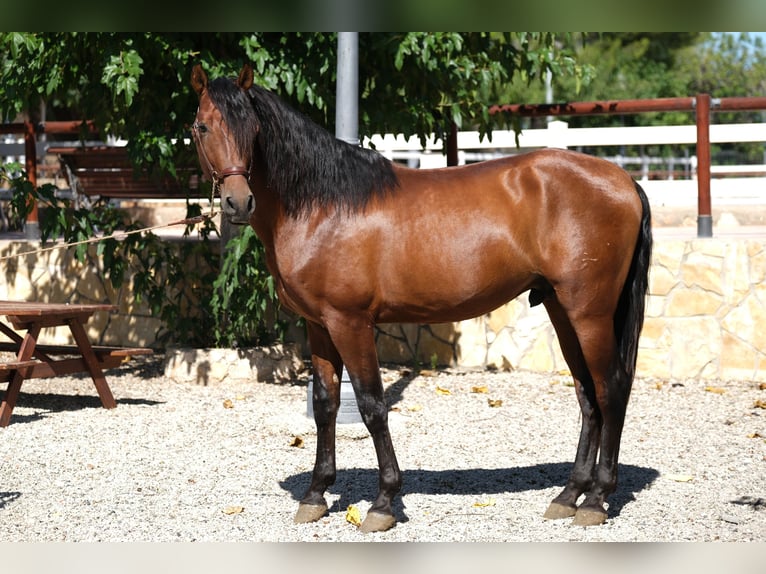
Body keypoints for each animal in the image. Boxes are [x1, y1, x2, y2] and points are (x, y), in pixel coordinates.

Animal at [192, 64, 656, 536]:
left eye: (252, 129)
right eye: (202, 126)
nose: (238, 202)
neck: (323, 206)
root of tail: (624, 180)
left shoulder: (350, 322)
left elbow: (372, 405)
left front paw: (383, 503)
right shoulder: (319, 326)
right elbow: (325, 405)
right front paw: (316, 494)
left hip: (590, 313)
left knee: (611, 388)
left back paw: (596, 500)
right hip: (563, 310)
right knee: (587, 394)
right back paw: (568, 495)